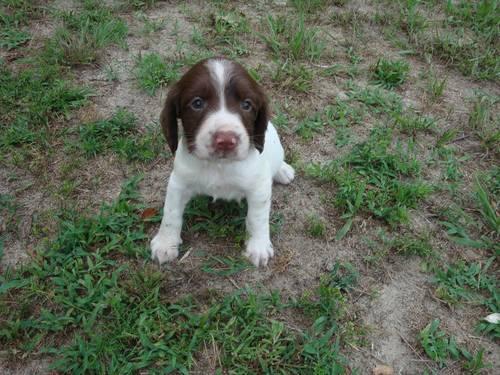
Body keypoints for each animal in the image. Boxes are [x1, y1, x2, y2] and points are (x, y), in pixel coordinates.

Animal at [150, 56, 294, 268]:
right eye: (197, 103)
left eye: (247, 105)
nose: (226, 140)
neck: (218, 165)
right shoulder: (178, 182)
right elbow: (171, 213)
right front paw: (165, 243)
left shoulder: (259, 188)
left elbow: (257, 218)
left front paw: (258, 247)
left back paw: (283, 171)